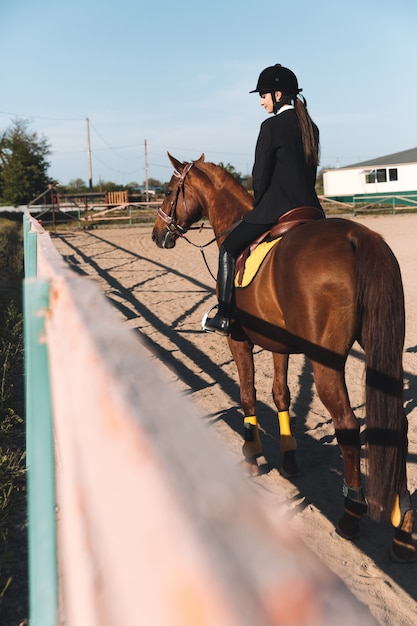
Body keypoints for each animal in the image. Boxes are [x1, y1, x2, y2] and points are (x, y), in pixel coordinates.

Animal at [151, 151, 414, 560]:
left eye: (167, 190)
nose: (157, 234)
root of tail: (358, 236)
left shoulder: (239, 341)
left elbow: (247, 394)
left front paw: (251, 454)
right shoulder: (279, 346)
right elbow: (281, 394)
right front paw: (289, 460)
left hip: (326, 363)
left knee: (348, 426)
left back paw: (351, 516)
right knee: (396, 427)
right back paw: (402, 529)